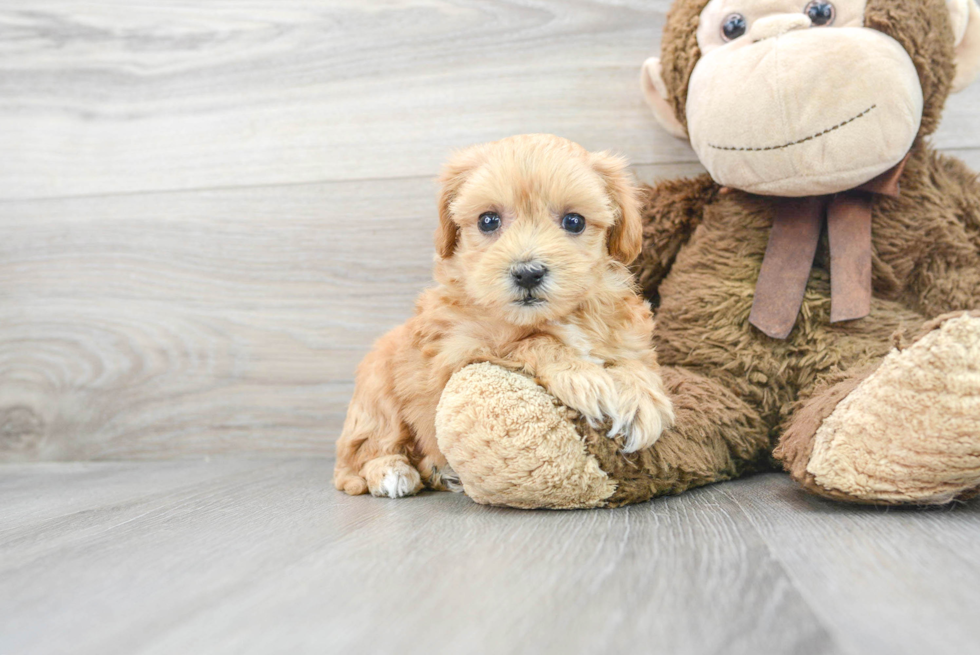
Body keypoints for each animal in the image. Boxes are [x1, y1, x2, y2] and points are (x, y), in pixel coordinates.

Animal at [334, 136, 672, 500]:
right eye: (488, 221)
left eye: (574, 221)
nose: (527, 273)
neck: (554, 315)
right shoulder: (458, 353)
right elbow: (531, 341)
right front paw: (582, 376)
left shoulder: (629, 340)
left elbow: (634, 364)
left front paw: (640, 399)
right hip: (377, 389)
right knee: (362, 452)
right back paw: (391, 471)